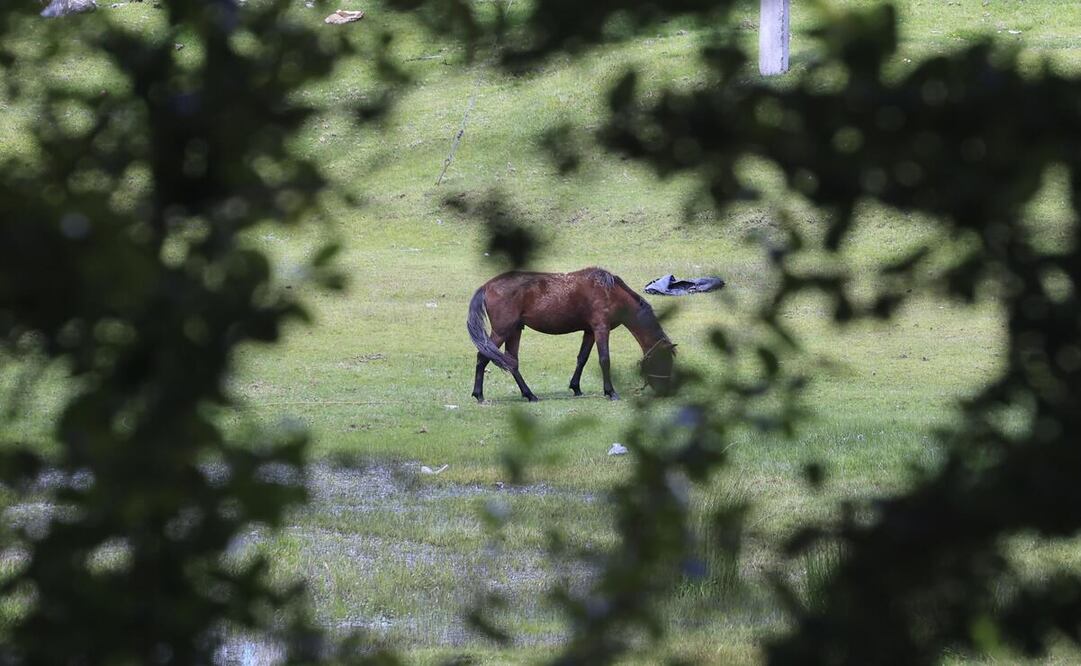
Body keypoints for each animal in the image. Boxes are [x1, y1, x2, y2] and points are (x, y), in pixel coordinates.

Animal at [466, 267, 676, 402]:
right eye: (664, 360)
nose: (665, 391)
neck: (610, 292)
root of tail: (487, 286)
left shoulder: (590, 331)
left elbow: (582, 358)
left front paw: (576, 388)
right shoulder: (601, 328)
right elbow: (604, 359)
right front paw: (610, 392)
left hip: (515, 331)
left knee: (511, 362)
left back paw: (529, 395)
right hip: (502, 331)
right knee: (482, 357)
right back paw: (479, 395)